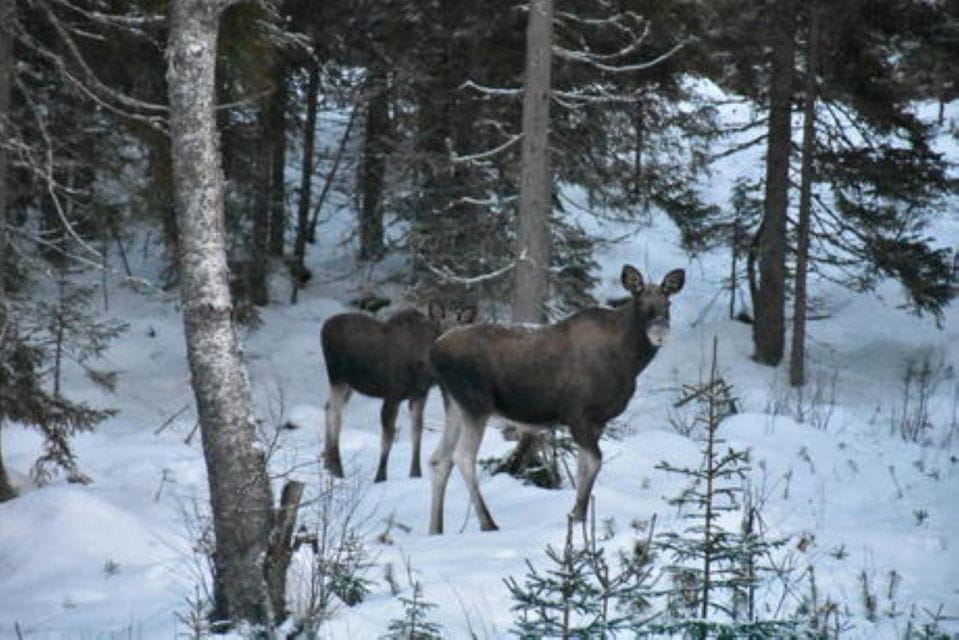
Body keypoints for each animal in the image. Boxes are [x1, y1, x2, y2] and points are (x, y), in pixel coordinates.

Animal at [321, 301, 477, 483]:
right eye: (440, 328)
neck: (424, 367)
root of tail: (324, 326)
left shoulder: (419, 395)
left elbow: (416, 432)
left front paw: (415, 473)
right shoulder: (392, 394)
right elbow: (388, 437)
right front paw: (380, 476)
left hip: (348, 385)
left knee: (327, 408)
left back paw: (327, 464)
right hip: (337, 376)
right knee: (335, 414)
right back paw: (337, 468)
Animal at [427, 265, 685, 533]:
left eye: (668, 302)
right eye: (640, 301)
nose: (660, 332)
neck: (629, 361)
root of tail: (434, 351)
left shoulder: (598, 420)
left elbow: (583, 468)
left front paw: (578, 517)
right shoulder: (577, 414)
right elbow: (594, 462)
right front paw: (578, 515)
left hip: (455, 404)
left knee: (439, 459)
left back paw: (436, 529)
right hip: (476, 404)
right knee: (462, 457)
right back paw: (488, 523)